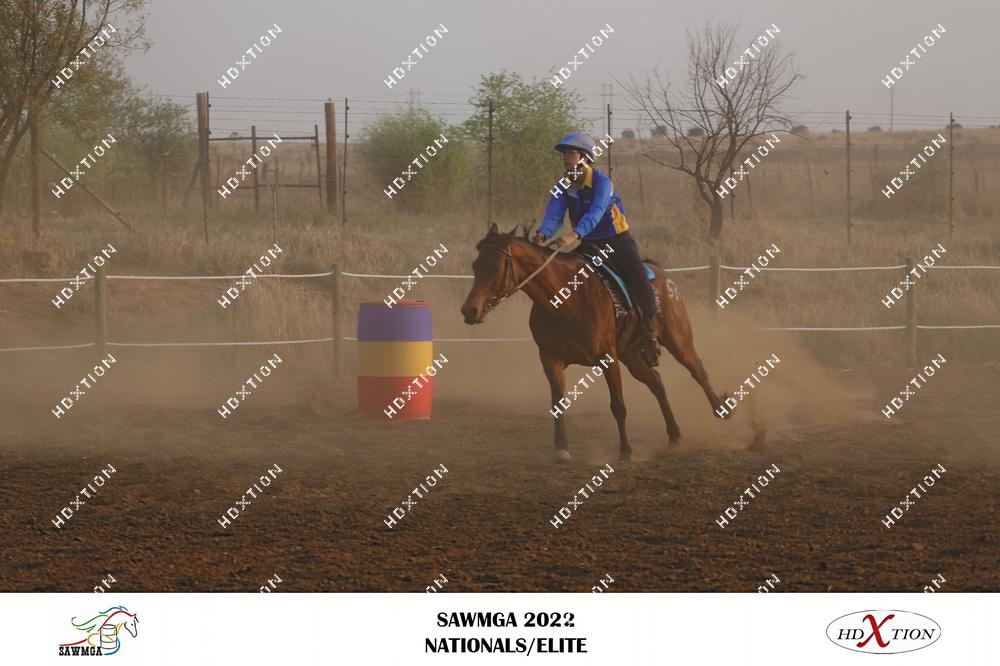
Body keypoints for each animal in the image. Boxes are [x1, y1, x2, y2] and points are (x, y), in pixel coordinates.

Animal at [461, 223, 730, 462]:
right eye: (475, 265)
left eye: (496, 267)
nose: (470, 310)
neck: (565, 299)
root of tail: (662, 274)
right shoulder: (550, 359)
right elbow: (558, 403)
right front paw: (561, 449)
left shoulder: (608, 358)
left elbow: (618, 405)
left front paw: (625, 451)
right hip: (632, 355)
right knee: (656, 383)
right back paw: (674, 436)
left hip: (677, 339)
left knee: (697, 369)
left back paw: (721, 408)